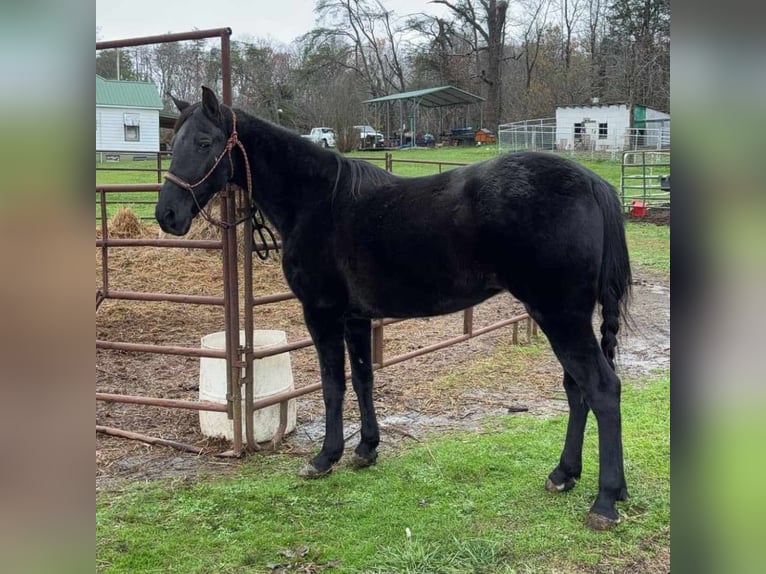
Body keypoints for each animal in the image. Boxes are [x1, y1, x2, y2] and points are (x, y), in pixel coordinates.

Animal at [158, 86, 636, 532]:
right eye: (172, 142)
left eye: (204, 142)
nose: (167, 215)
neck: (317, 201)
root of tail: (592, 184)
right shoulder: (355, 318)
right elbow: (363, 379)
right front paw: (366, 449)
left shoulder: (322, 313)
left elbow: (333, 385)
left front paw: (324, 458)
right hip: (563, 318)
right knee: (576, 390)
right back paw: (564, 474)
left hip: (560, 317)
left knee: (602, 389)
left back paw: (605, 502)